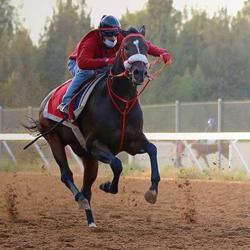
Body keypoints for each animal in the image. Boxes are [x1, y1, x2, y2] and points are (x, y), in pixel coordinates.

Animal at [28, 26, 160, 227]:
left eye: (146, 47)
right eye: (126, 47)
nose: (139, 72)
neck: (122, 103)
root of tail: (46, 100)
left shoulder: (133, 142)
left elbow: (152, 149)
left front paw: (152, 191)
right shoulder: (95, 144)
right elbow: (117, 164)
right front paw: (107, 186)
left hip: (88, 157)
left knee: (87, 186)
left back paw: (91, 221)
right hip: (54, 139)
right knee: (67, 175)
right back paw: (81, 200)